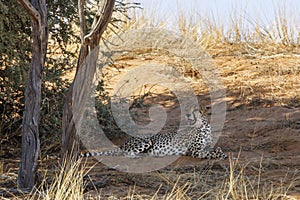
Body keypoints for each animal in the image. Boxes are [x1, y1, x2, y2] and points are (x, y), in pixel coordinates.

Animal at [80, 107, 227, 160]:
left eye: (195, 110)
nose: (187, 114)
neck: (204, 126)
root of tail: (125, 142)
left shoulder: (207, 146)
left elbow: (215, 148)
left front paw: (220, 152)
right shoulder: (195, 151)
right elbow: (208, 153)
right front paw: (220, 155)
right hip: (146, 140)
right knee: (126, 154)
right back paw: (139, 157)